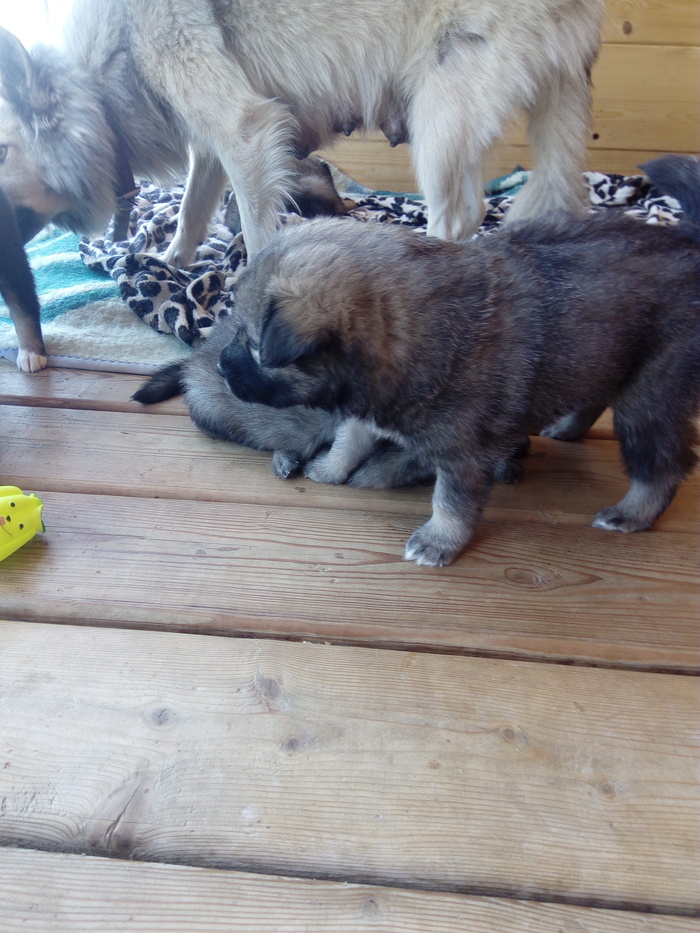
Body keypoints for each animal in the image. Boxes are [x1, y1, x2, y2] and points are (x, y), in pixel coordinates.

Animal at [0, 0, 603, 263]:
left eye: (3, 152)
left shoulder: (242, 129)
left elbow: (254, 231)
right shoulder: (213, 147)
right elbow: (192, 212)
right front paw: (171, 262)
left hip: (439, 122)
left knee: (460, 216)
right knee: (554, 200)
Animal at [217, 154, 700, 566]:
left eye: (255, 347)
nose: (221, 365)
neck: (405, 330)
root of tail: (689, 243)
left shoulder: (464, 451)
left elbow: (450, 500)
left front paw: (438, 540)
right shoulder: (368, 404)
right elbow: (350, 437)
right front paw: (330, 468)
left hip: (651, 394)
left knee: (661, 465)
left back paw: (632, 513)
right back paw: (566, 428)